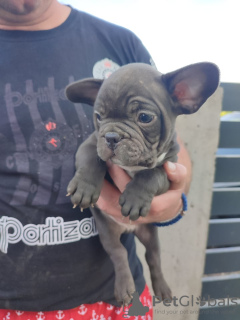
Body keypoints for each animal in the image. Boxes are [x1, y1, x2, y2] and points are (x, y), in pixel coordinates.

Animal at [65, 62, 219, 304]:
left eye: (145, 117)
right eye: (98, 116)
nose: (111, 136)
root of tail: (129, 228)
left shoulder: (169, 169)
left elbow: (151, 175)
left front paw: (134, 198)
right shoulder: (91, 143)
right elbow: (91, 158)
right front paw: (84, 188)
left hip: (150, 234)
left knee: (152, 256)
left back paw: (162, 288)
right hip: (107, 232)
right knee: (118, 251)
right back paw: (124, 288)